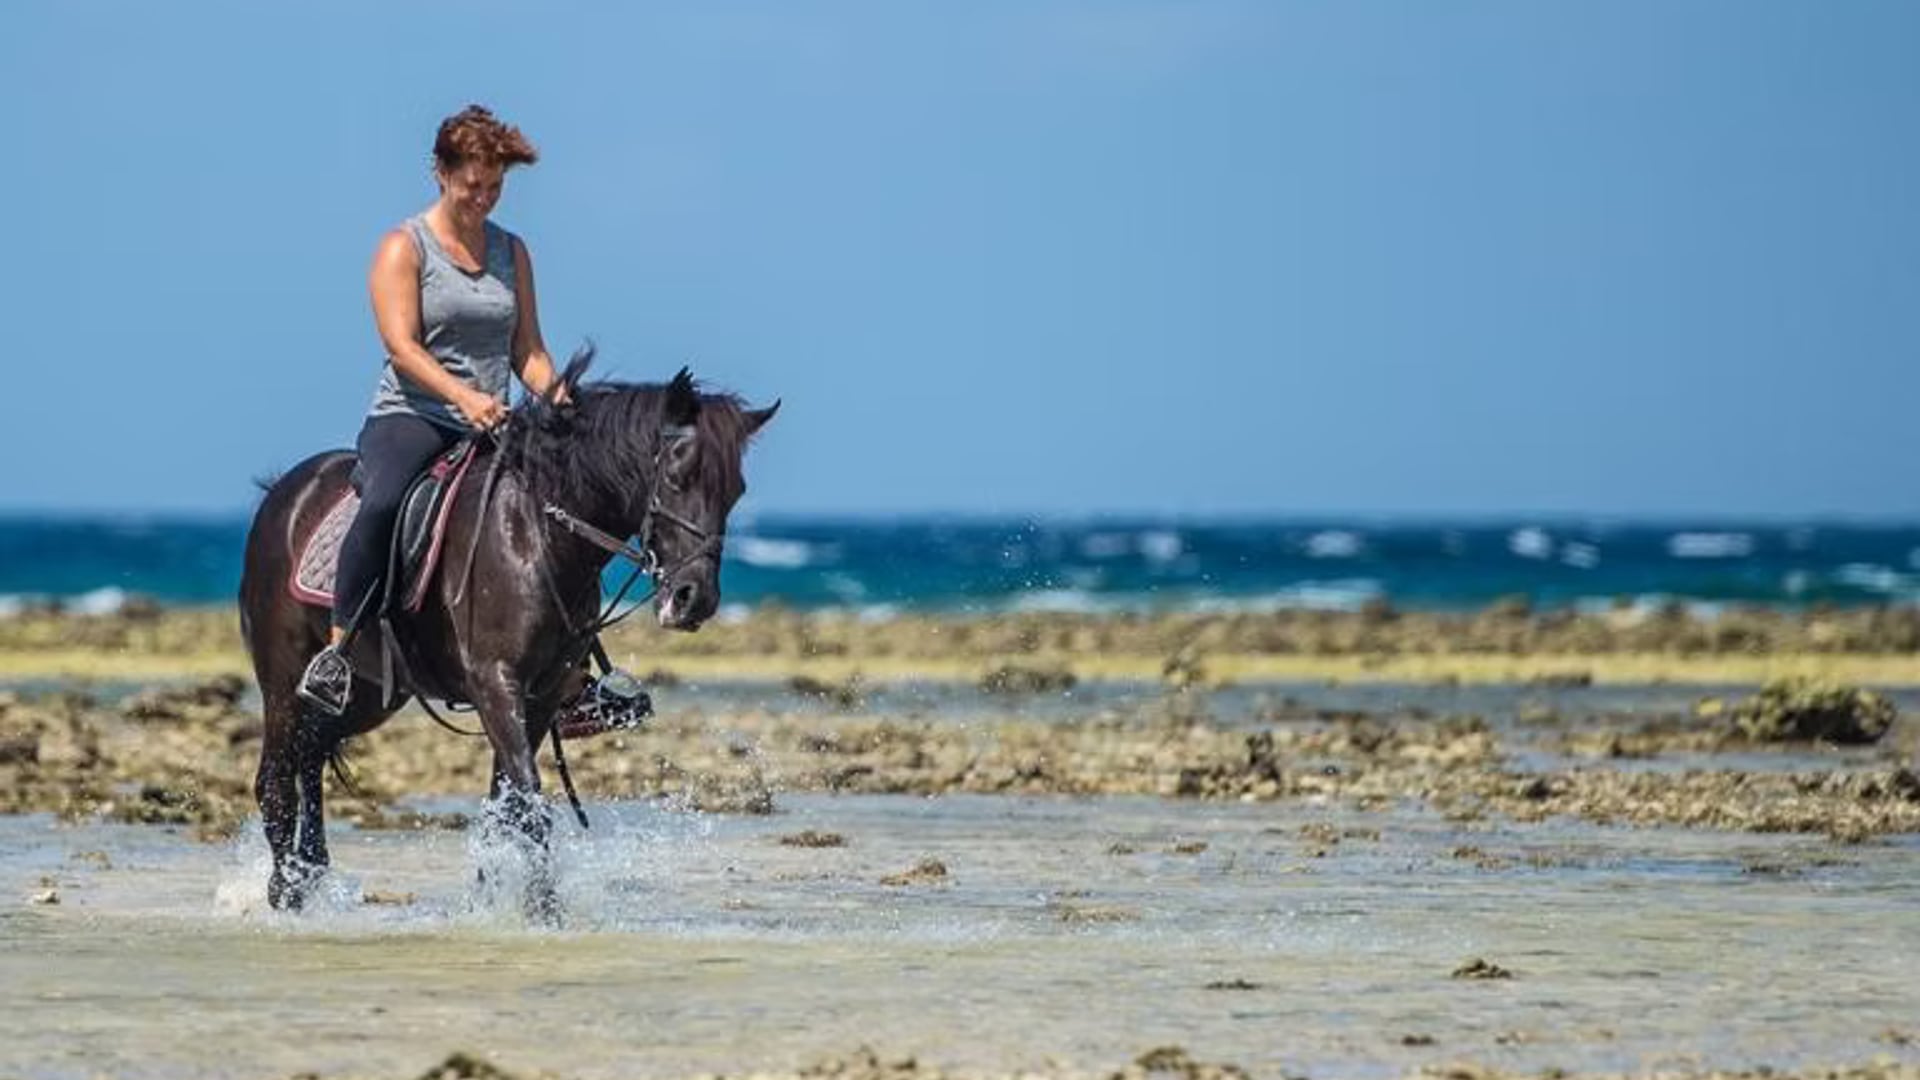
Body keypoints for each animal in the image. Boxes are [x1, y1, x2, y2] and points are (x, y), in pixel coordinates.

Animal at [238, 350, 776, 919]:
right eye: (678, 476)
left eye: (735, 491)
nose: (695, 600)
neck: (536, 532)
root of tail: (285, 493)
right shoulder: (495, 683)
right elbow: (529, 799)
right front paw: (543, 909)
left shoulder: (542, 692)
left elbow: (508, 803)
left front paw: (494, 897)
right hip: (285, 683)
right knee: (276, 779)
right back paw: (286, 890)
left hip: (368, 694)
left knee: (311, 757)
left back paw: (309, 875)